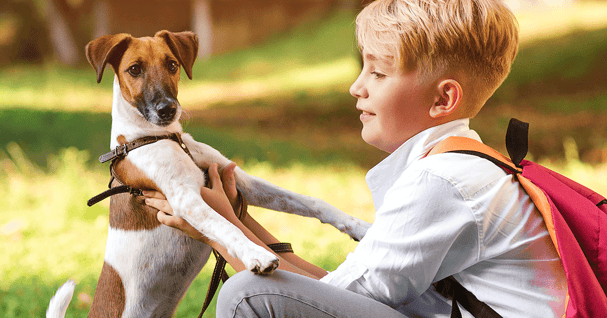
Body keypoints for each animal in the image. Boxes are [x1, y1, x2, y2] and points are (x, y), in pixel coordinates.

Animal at [46, 30, 370, 318]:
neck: (161, 137)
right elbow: (226, 226)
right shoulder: (184, 199)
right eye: (134, 69)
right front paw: (256, 254)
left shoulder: (239, 181)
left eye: (172, 65)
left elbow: (311, 202)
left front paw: (361, 227)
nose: (167, 109)